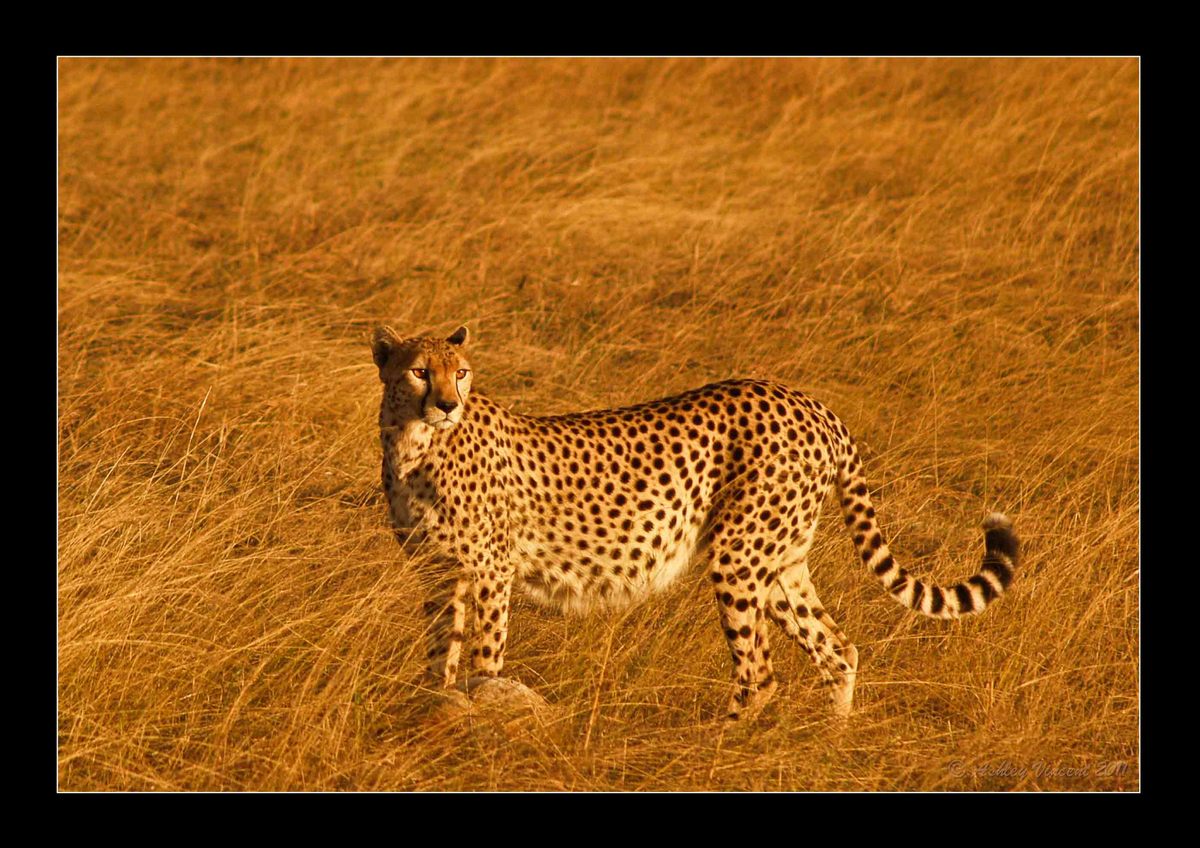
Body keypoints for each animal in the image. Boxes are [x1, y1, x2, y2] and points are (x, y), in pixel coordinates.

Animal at [372, 325, 1019, 720]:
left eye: (461, 372)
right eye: (419, 371)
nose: (448, 403)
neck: (414, 442)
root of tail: (809, 402)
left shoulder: (491, 570)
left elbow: (485, 661)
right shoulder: (438, 573)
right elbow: (441, 656)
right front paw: (434, 708)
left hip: (738, 556)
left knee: (760, 673)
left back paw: (717, 747)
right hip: (779, 561)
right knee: (837, 650)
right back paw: (831, 743)